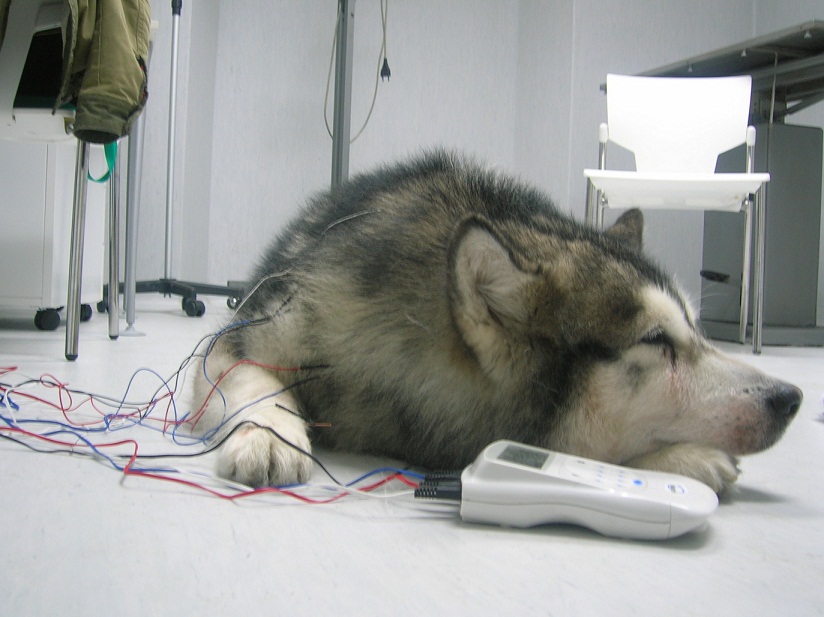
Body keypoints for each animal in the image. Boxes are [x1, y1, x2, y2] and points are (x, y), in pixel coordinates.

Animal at [192, 151, 802, 494]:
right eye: (656, 340)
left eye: (698, 330)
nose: (792, 398)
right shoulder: (247, 336)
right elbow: (251, 378)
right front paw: (268, 435)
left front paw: (684, 457)